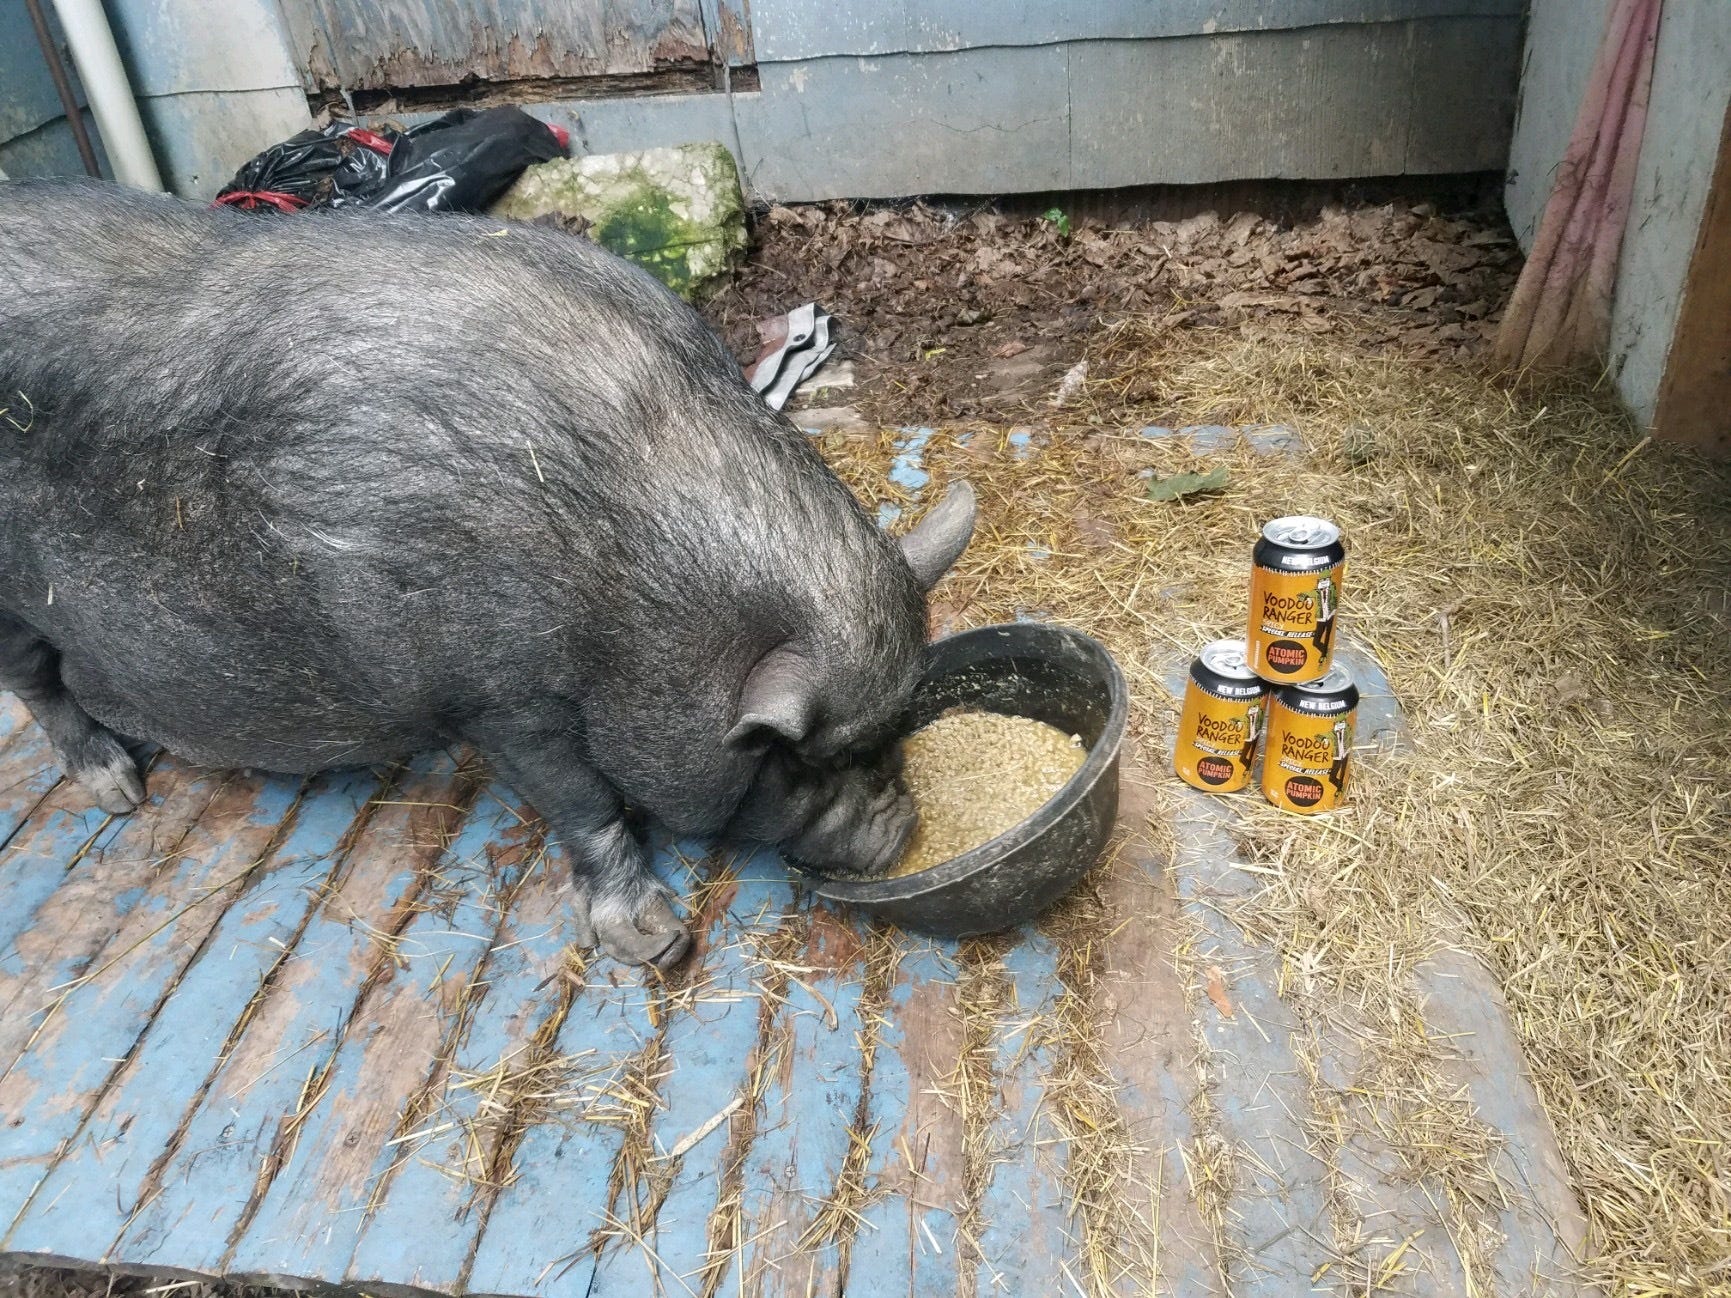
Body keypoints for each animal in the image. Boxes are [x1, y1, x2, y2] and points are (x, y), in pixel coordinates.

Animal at [0, 180, 976, 969]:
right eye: (797, 762)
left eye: (896, 733)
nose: (903, 832)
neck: (622, 586)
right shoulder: (500, 697)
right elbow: (582, 800)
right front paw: (651, 946)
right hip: (17, 603)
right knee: (36, 680)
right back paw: (117, 791)